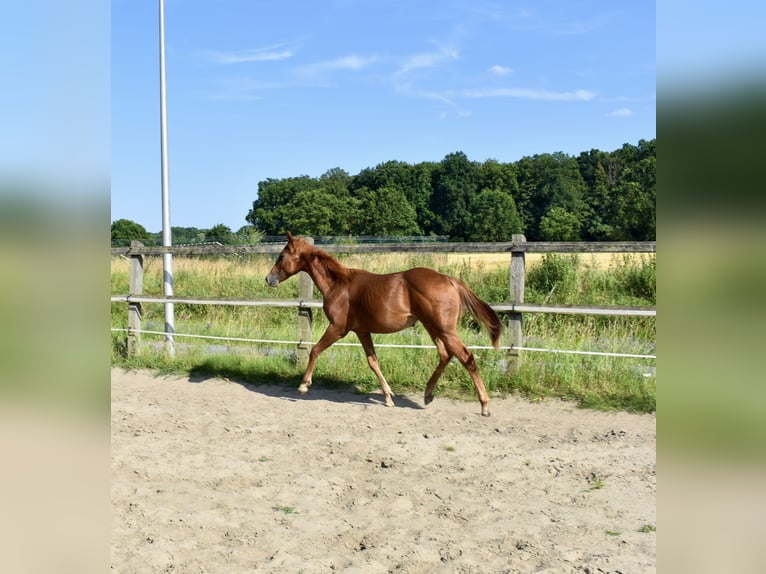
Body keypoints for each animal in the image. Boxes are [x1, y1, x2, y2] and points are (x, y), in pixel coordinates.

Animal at [265, 232, 503, 416]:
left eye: (282, 255)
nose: (268, 279)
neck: (338, 285)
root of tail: (451, 280)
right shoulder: (362, 331)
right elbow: (373, 362)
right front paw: (388, 397)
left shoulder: (338, 329)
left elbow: (315, 350)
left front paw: (303, 385)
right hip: (433, 327)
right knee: (446, 355)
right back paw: (428, 395)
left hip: (444, 329)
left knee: (466, 357)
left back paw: (484, 406)